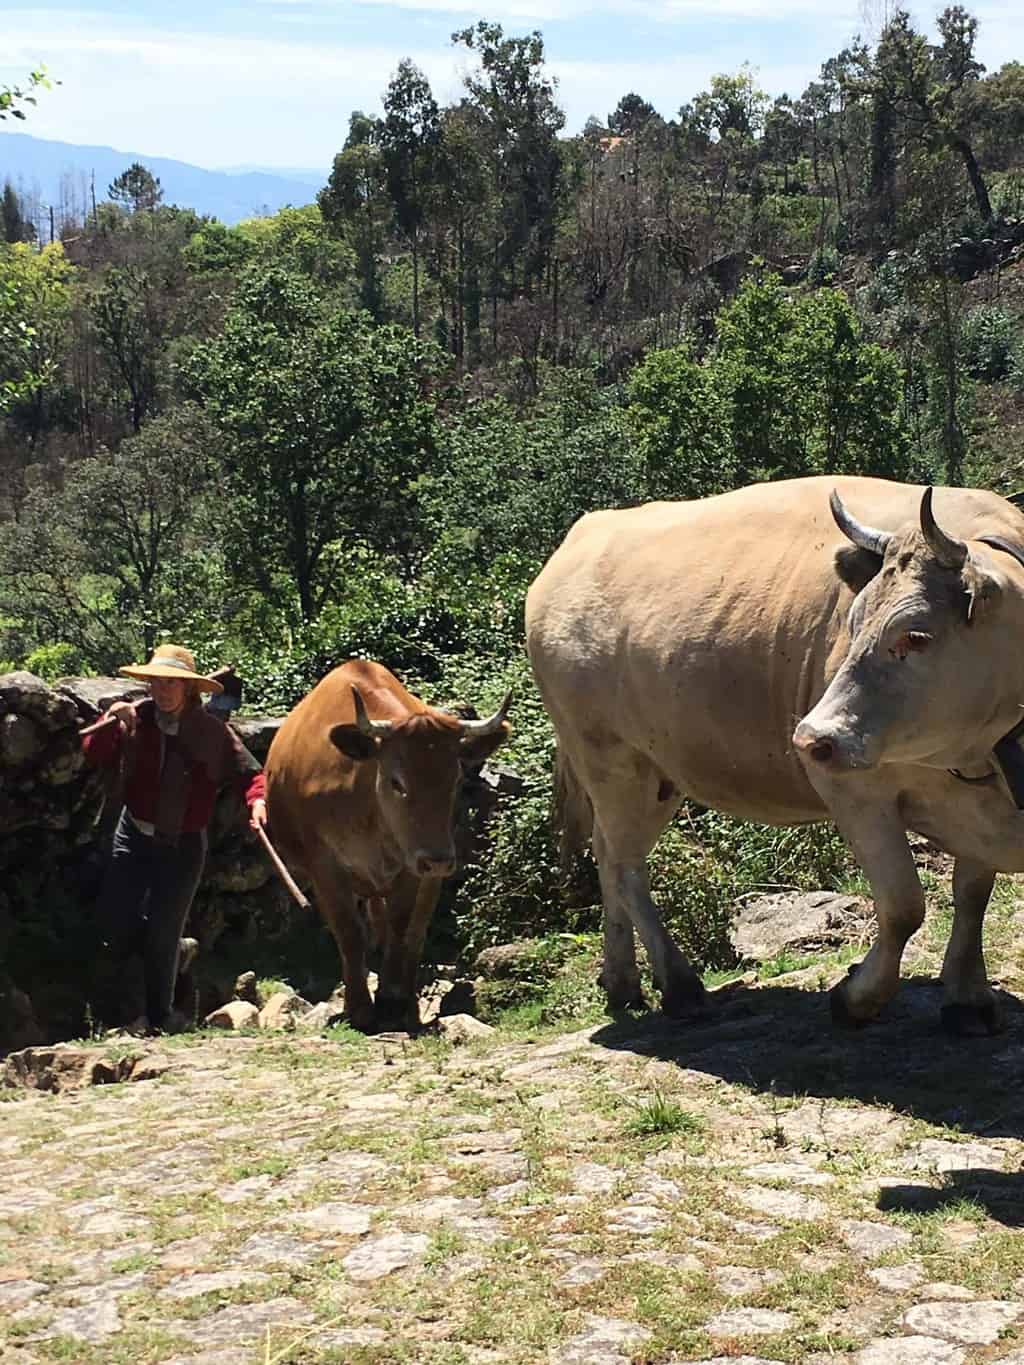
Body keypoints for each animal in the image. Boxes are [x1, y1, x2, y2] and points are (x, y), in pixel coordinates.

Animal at [260, 663, 510, 1031]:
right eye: (397, 782)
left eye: (456, 779)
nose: (439, 859)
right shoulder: (324, 867)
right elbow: (349, 931)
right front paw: (359, 1007)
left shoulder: (412, 865)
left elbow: (401, 925)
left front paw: (391, 999)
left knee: (414, 934)